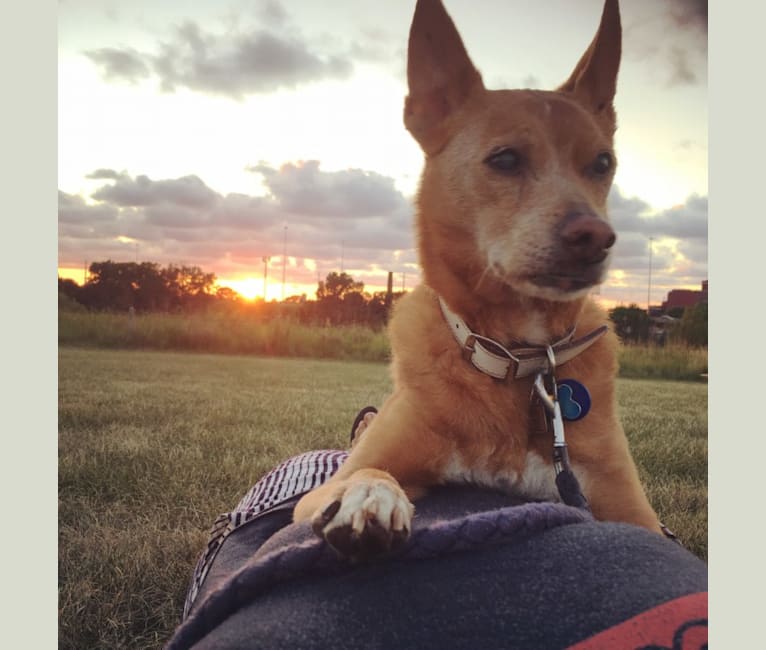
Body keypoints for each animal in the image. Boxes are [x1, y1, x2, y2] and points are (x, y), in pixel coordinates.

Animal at [292, 0, 664, 556]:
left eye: (603, 163)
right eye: (505, 158)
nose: (596, 237)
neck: (517, 358)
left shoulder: (633, 508)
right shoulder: (320, 493)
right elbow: (368, 473)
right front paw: (369, 498)